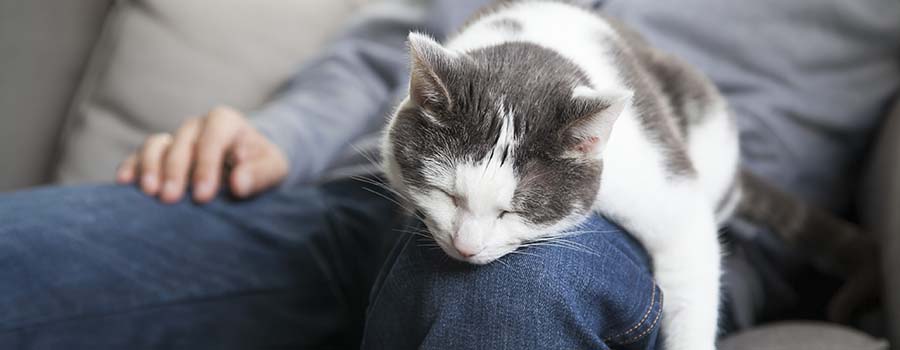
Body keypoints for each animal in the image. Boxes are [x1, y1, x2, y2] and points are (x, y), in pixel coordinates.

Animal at [380, 1, 880, 348]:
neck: (536, 55)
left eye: (515, 212)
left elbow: (689, 265)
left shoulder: (663, 181)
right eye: (447, 194)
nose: (465, 248)